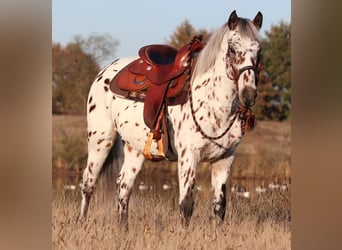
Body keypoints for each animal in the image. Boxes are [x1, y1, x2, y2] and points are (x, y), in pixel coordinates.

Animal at [79, 10, 264, 229]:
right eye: (233, 49)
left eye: (259, 51)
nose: (249, 94)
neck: (213, 104)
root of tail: (105, 71)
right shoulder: (188, 158)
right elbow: (186, 205)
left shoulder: (224, 159)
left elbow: (219, 207)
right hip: (100, 141)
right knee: (89, 183)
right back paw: (81, 223)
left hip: (134, 149)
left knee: (124, 186)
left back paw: (123, 230)